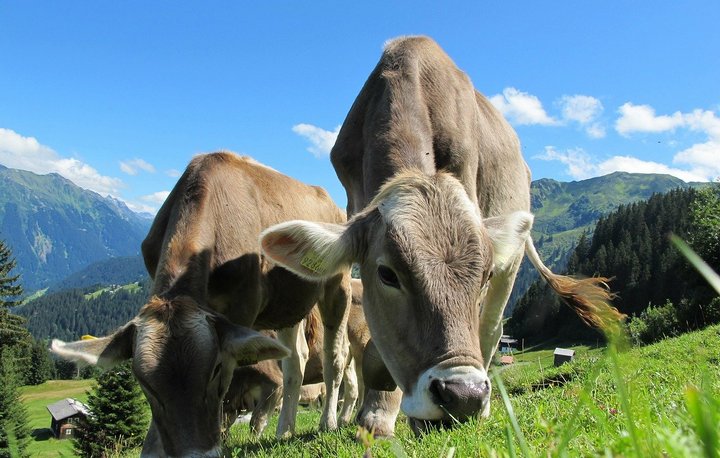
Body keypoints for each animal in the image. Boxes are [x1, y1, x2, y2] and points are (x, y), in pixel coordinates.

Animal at [50, 152, 352, 456]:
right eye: (143, 382)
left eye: (215, 369)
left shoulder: (241, 310)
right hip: (287, 306)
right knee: (295, 361)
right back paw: (285, 430)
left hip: (337, 285)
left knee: (334, 356)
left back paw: (329, 422)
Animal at [260, 36, 624, 436]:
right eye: (387, 274)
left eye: (484, 275)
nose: (464, 395)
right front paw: (376, 415)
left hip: (511, 263)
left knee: (491, 329)